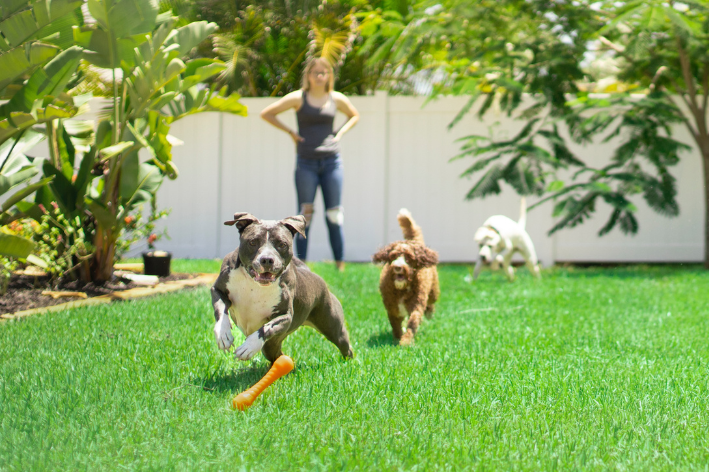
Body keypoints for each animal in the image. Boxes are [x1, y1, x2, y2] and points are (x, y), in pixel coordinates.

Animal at [210, 212, 354, 364]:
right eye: (253, 242)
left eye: (282, 244)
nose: (267, 259)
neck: (255, 284)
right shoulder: (218, 290)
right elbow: (221, 311)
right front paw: (223, 334)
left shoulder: (285, 316)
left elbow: (266, 328)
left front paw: (249, 346)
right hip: (272, 345)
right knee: (278, 355)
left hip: (332, 326)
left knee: (344, 344)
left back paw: (348, 362)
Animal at [370, 208, 436, 344]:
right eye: (393, 256)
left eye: (409, 258)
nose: (398, 267)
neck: (402, 289)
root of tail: (415, 242)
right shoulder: (392, 308)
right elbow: (395, 324)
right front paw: (397, 337)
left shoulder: (416, 304)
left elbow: (413, 321)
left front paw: (406, 341)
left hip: (433, 292)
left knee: (431, 302)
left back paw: (429, 311)